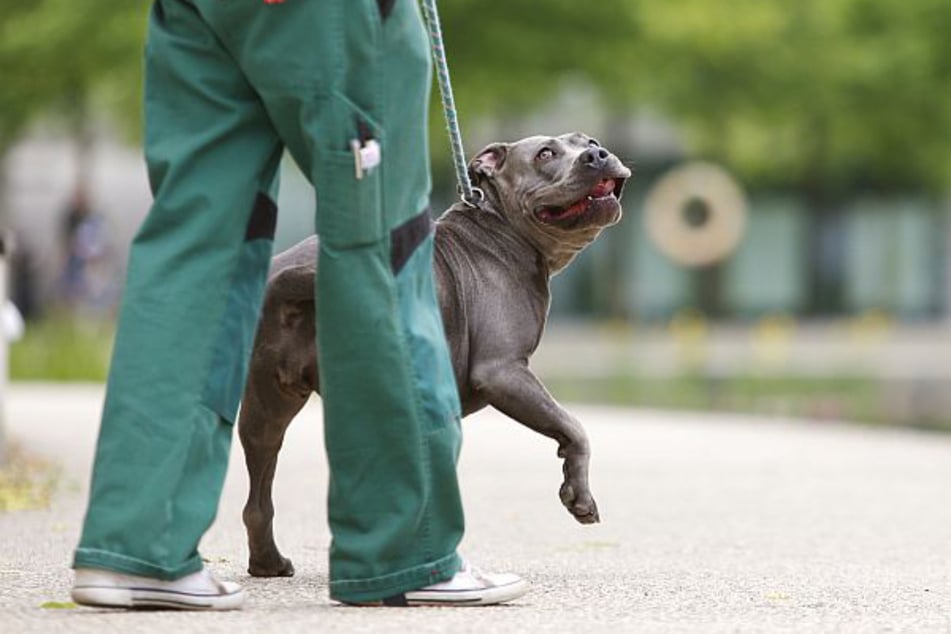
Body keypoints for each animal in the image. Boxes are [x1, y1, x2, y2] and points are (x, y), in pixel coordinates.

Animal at [240, 131, 632, 576]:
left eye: (589, 141)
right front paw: (579, 495)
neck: (500, 226)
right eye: (545, 153)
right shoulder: (503, 371)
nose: (597, 154)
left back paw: (270, 562)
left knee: (260, 500)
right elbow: (575, 427)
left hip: (270, 408)